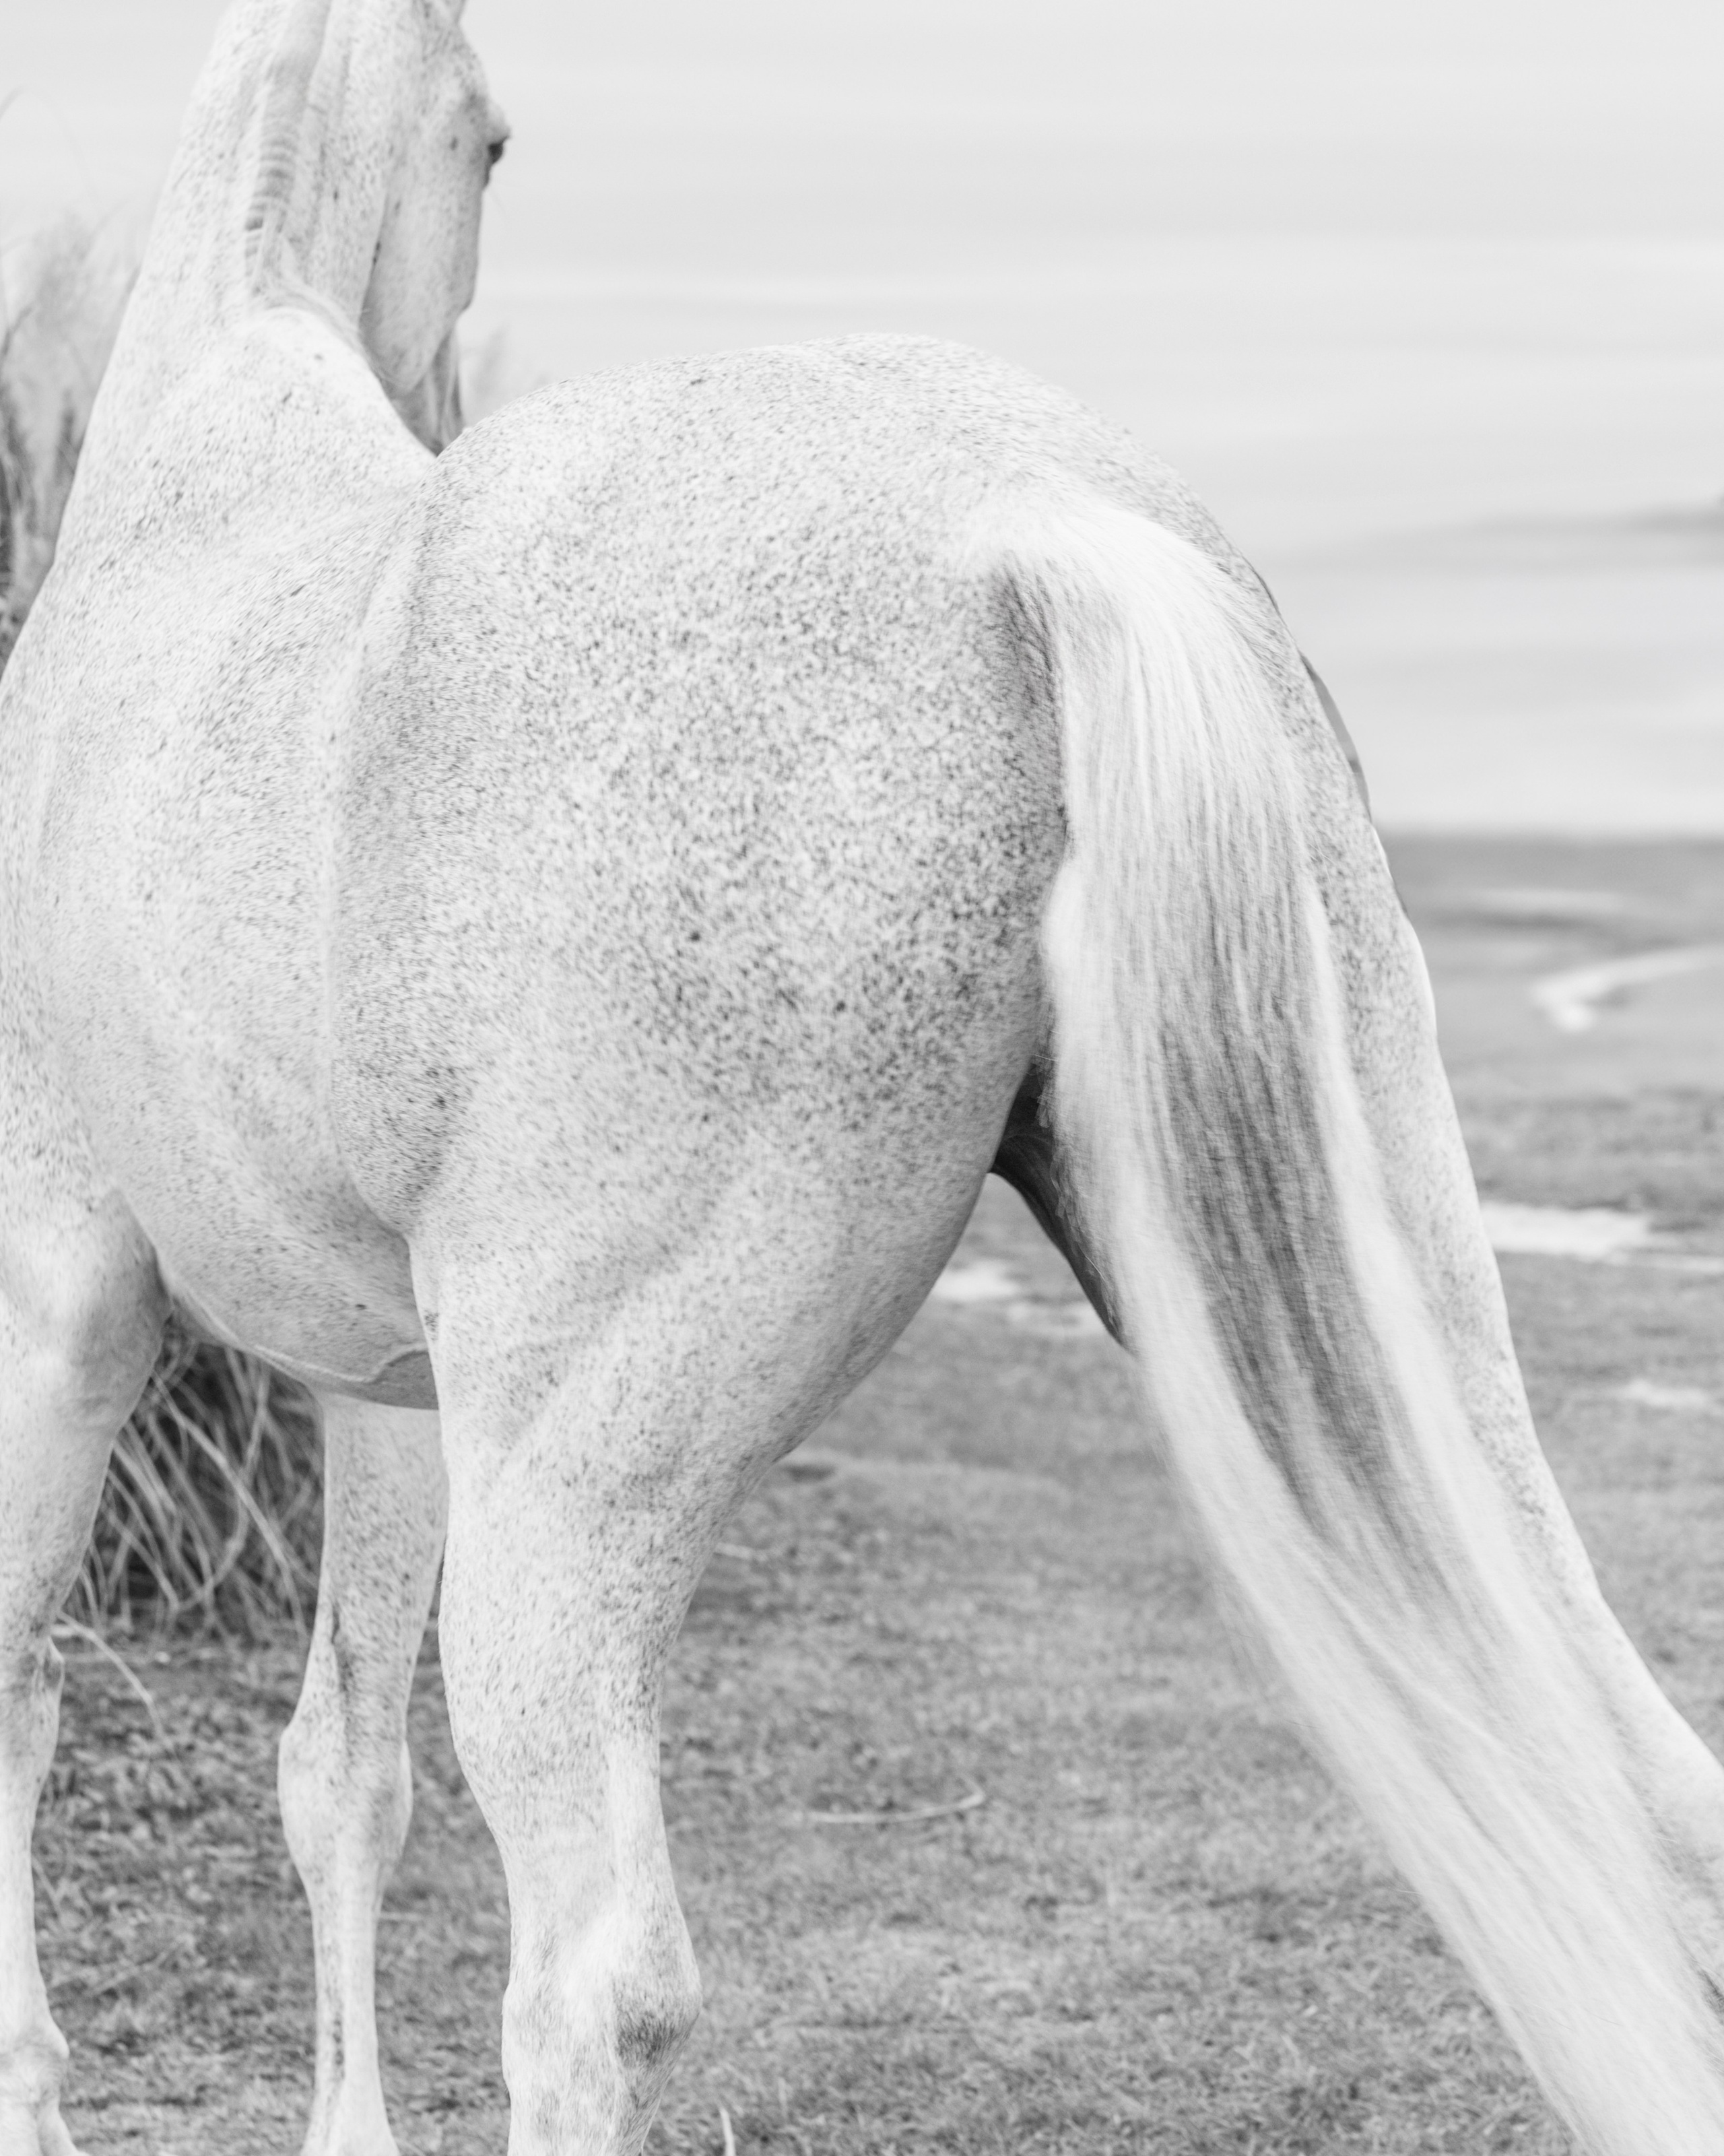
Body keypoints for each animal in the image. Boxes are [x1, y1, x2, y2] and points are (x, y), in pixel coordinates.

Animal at [4, 3, 1724, 2153]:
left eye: (495, 135)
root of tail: (1028, 514)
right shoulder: (376, 1380)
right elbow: (340, 1772)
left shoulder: (63, 1294)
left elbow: (25, 1694)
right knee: (1652, 1806)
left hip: (573, 1480)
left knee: (591, 1978)